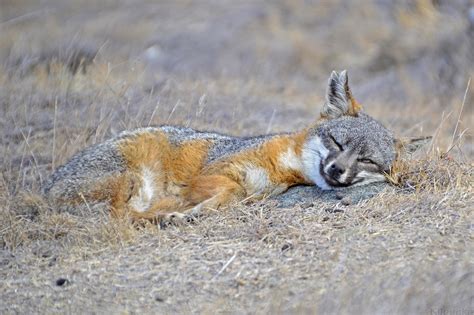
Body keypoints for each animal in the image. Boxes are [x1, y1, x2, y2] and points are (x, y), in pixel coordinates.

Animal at [41, 70, 418, 226]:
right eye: (337, 142)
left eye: (366, 160)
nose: (337, 170)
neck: (278, 168)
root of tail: (44, 190)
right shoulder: (214, 171)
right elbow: (230, 191)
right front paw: (195, 208)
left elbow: (233, 196)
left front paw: (195, 210)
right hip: (130, 177)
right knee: (120, 215)